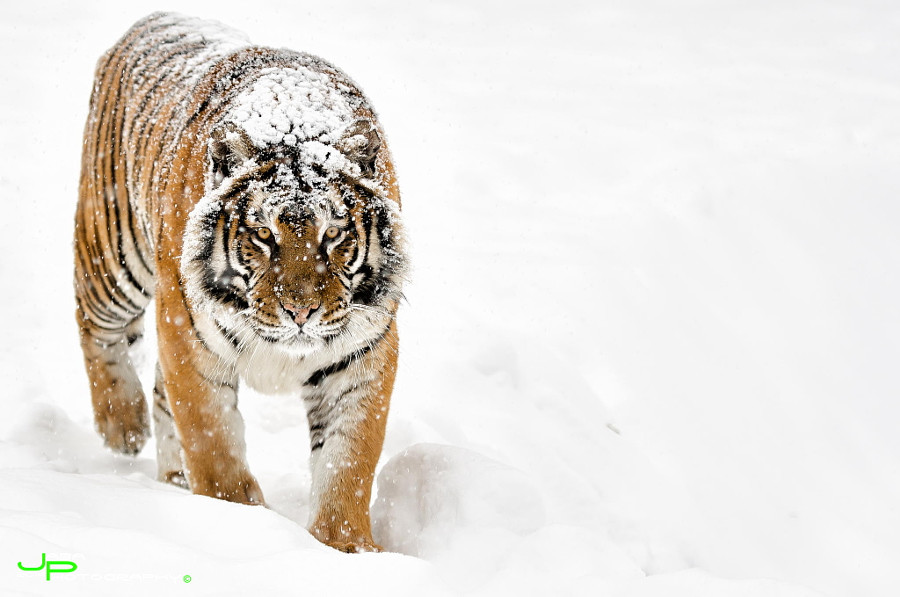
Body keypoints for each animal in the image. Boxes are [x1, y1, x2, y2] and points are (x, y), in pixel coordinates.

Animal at [74, 11, 412, 552]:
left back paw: (171, 481)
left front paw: (347, 549)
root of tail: (155, 17)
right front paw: (242, 530)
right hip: (112, 251)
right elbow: (215, 450)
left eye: (333, 234)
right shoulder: (191, 344)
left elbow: (348, 464)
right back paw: (121, 424)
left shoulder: (361, 356)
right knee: (97, 329)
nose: (301, 312)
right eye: (263, 235)